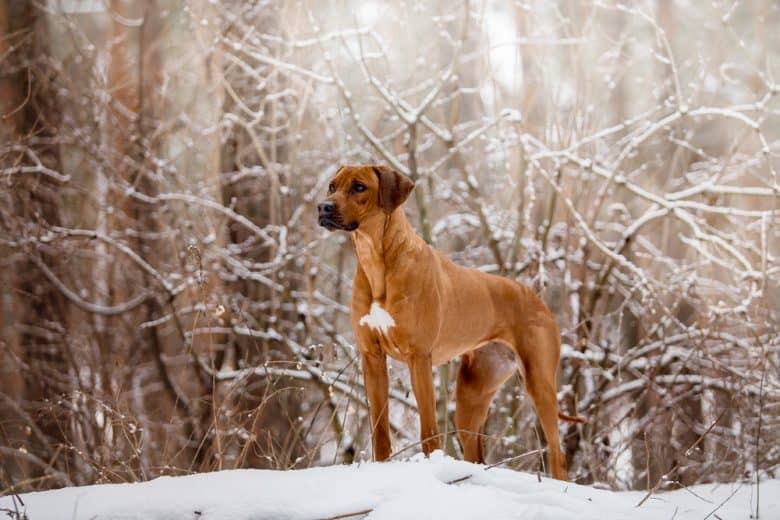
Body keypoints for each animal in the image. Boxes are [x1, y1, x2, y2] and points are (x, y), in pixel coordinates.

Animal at [316, 164, 584, 480]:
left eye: (359, 187)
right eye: (332, 186)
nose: (323, 206)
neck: (377, 260)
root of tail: (537, 298)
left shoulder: (419, 357)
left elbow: (429, 431)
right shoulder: (372, 357)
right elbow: (380, 430)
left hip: (539, 381)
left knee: (558, 453)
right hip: (473, 392)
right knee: (475, 452)